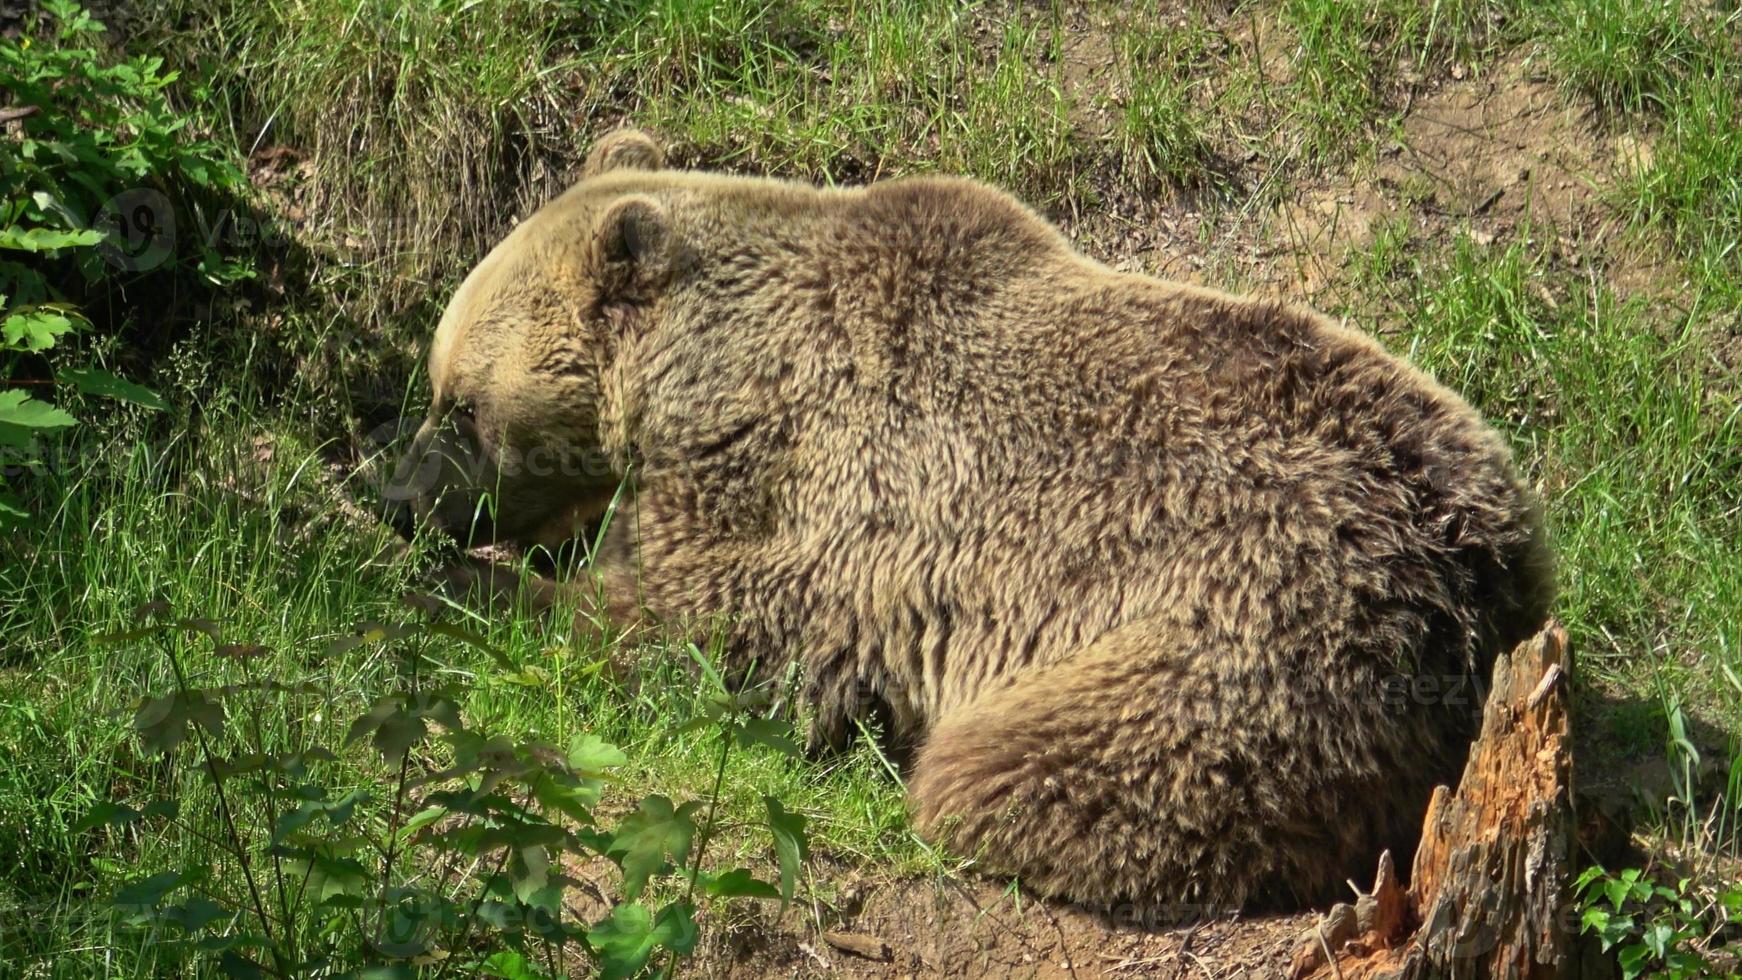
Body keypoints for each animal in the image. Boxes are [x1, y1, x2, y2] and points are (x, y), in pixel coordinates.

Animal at [391, 128, 1553, 912]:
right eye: (439, 382)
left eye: (462, 402)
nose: (399, 492)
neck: (722, 381)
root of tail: (1474, 584)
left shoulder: (831, 506)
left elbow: (696, 632)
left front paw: (462, 584)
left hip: (1255, 626)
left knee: (1025, 764)